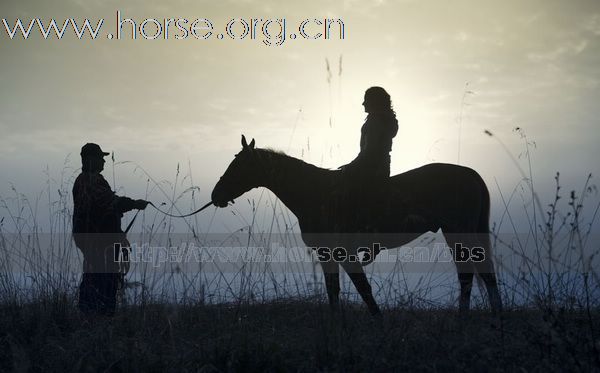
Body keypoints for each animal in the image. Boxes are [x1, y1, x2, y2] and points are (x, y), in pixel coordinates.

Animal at [211, 135, 502, 316]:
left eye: (238, 166)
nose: (216, 195)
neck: (315, 192)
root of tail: (471, 174)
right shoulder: (328, 254)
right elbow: (334, 290)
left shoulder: (341, 252)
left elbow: (361, 288)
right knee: (475, 274)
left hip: (459, 233)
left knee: (473, 274)